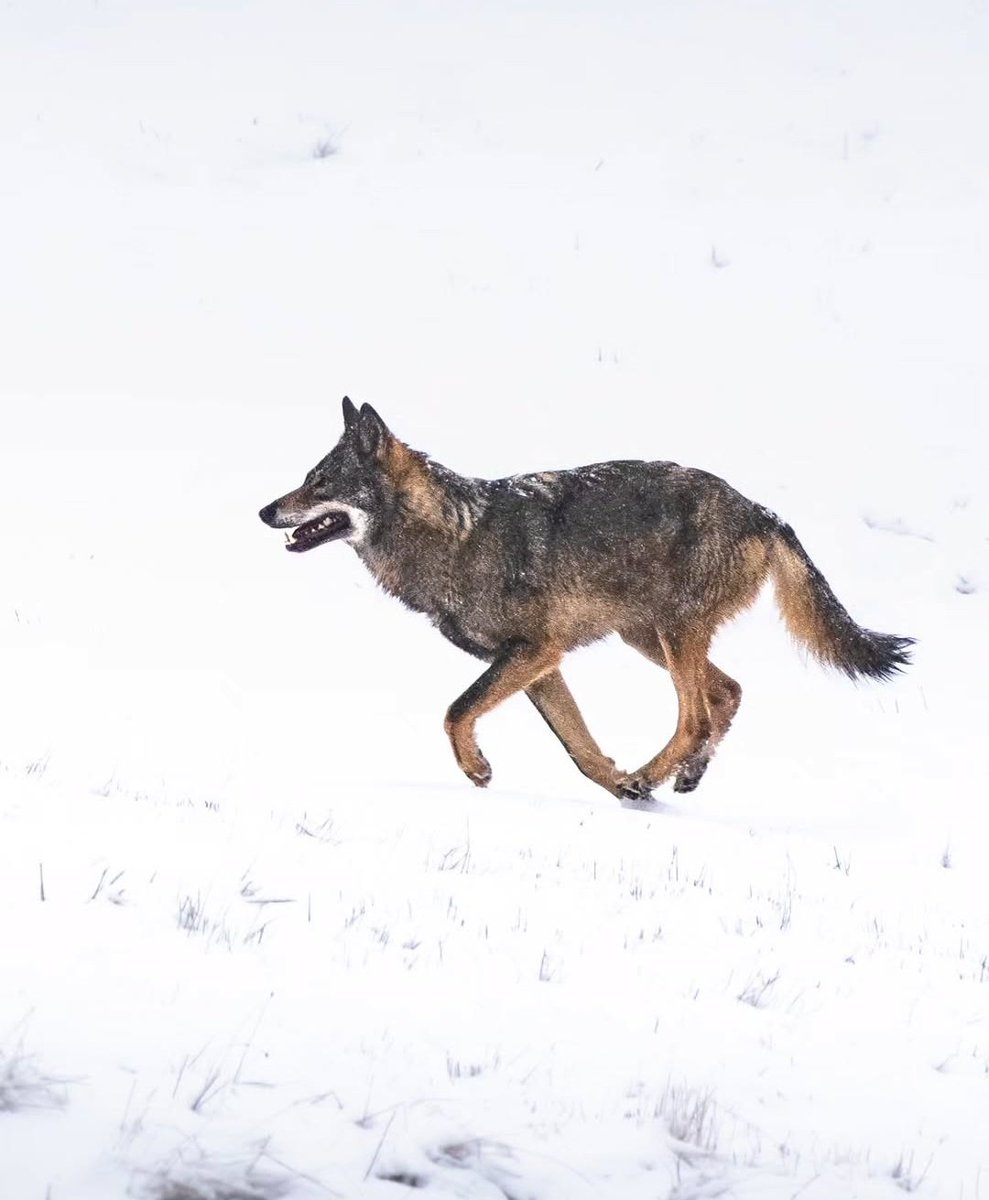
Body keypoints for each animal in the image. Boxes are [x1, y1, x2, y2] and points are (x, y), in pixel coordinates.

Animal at [259, 398, 912, 801]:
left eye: (320, 483)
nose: (266, 511)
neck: (457, 534)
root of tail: (761, 510)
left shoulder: (534, 651)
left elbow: (454, 711)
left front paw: (477, 768)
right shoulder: (542, 666)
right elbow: (578, 749)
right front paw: (619, 785)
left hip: (668, 637)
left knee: (698, 716)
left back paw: (656, 773)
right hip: (645, 637)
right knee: (727, 695)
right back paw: (676, 779)